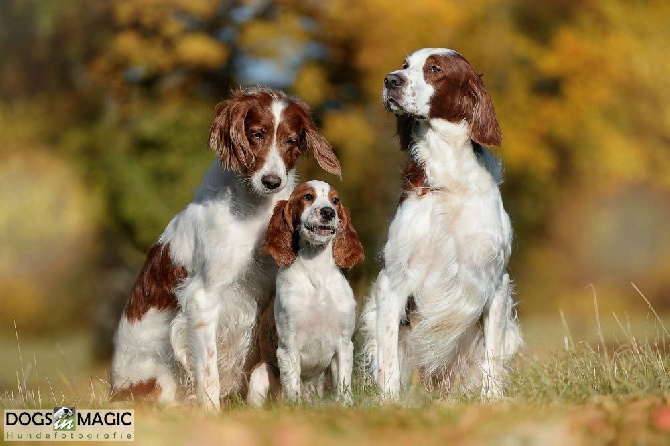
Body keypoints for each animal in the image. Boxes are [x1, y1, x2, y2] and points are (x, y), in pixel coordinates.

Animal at [112, 85, 342, 410]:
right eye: (257, 134)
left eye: (292, 140)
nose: (272, 181)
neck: (255, 209)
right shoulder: (202, 299)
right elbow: (209, 374)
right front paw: (212, 413)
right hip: (160, 382)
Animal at [247, 179, 364, 406]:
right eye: (308, 197)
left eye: (335, 200)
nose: (328, 212)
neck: (316, 271)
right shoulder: (288, 345)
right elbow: (292, 386)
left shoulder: (344, 343)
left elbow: (343, 386)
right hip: (260, 372)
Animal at [362, 48, 524, 398]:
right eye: (405, 65)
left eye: (435, 69)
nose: (391, 80)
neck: (450, 176)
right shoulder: (393, 281)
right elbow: (389, 359)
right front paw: (390, 401)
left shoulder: (495, 280)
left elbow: (491, 356)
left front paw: (492, 400)